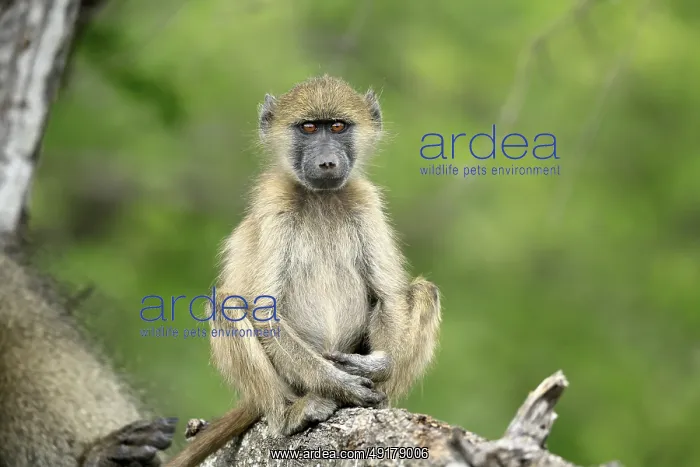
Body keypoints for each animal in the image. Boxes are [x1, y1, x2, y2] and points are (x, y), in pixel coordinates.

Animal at [165, 75, 442, 467]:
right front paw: (342, 383)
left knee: (423, 292)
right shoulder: (275, 204)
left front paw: (374, 369)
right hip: (291, 381)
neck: (320, 197)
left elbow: (388, 298)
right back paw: (288, 414)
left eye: (338, 127)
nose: (327, 162)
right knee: (228, 303)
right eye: (309, 128)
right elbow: (263, 311)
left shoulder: (366, 201)